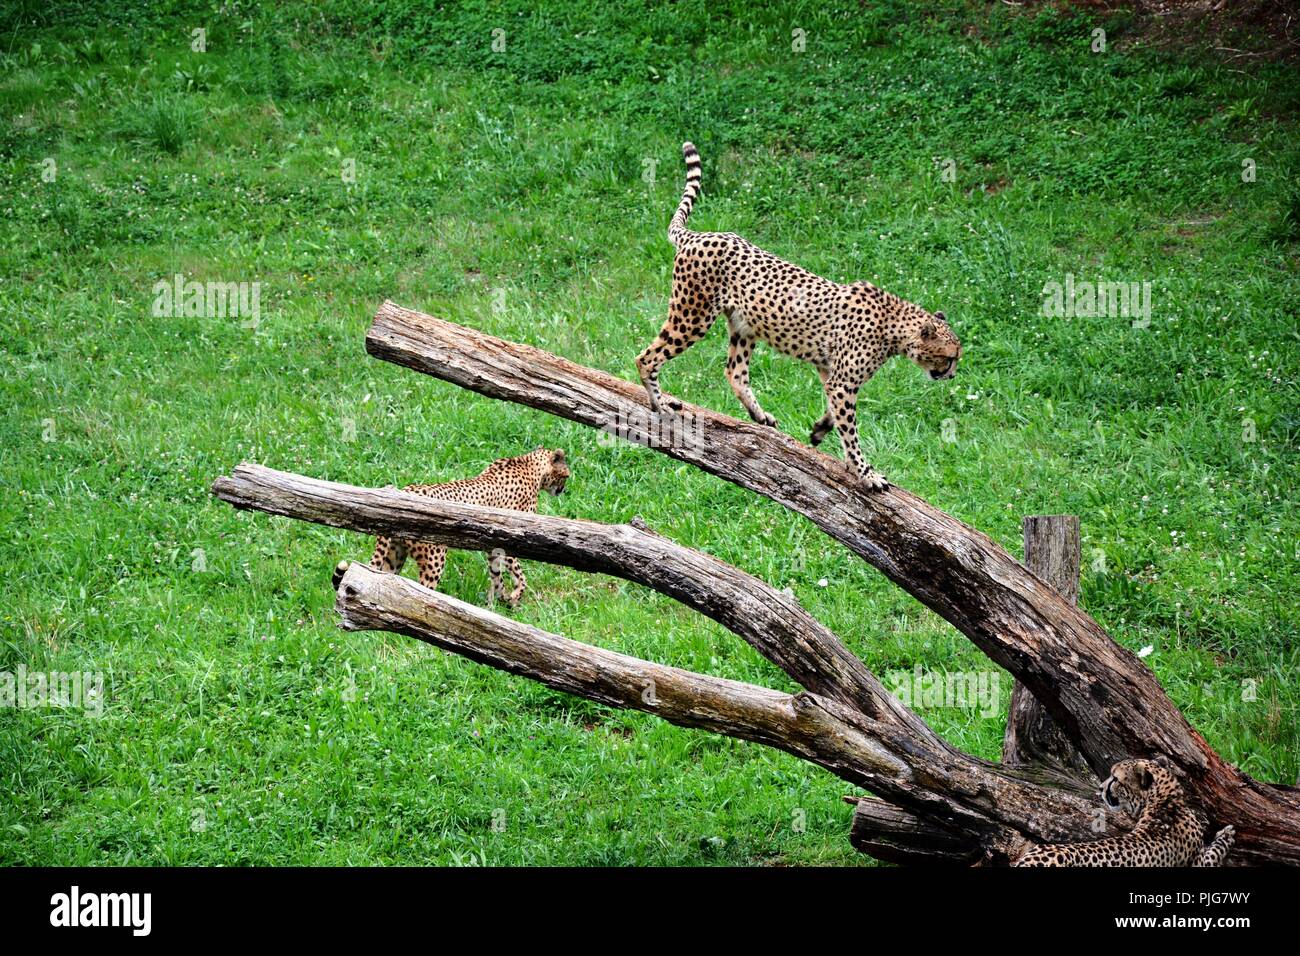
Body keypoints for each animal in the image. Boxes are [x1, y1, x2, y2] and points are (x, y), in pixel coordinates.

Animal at [330, 447, 564, 606]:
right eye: (566, 475)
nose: (563, 490)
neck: (529, 464)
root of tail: (404, 490)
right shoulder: (513, 541)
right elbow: (519, 575)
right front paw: (514, 597)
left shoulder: (494, 546)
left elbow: (496, 575)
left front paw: (497, 601)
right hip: (433, 560)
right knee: (422, 590)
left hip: (394, 555)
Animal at [634, 140, 961, 494]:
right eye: (950, 356)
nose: (952, 375)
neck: (894, 324)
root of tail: (700, 235)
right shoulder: (843, 382)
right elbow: (850, 431)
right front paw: (865, 472)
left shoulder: (830, 371)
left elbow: (833, 413)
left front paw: (820, 430)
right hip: (692, 315)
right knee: (646, 357)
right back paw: (660, 403)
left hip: (744, 325)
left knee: (735, 372)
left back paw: (760, 416)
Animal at [1008, 759, 1232, 868]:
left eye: (1115, 779)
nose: (1100, 788)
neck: (1164, 802)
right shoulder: (1197, 863)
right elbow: (1213, 852)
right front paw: (1226, 834)